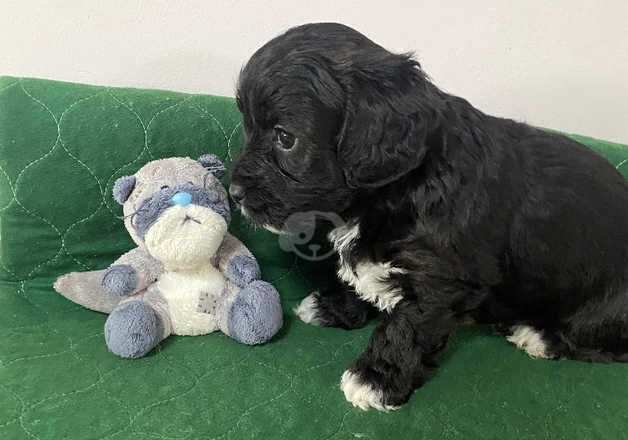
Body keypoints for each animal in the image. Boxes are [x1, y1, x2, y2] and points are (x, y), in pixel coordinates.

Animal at [229, 23, 628, 410]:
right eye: (247, 126)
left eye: (285, 138)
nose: (234, 193)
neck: (395, 188)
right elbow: (358, 277)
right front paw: (333, 307)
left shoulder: (442, 280)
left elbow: (405, 328)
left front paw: (375, 378)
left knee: (600, 341)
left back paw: (538, 335)